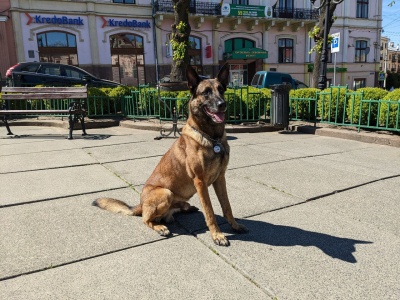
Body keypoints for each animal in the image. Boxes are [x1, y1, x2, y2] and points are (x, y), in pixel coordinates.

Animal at [95, 63, 248, 246]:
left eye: (222, 90)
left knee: (173, 211)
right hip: (166, 193)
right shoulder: (201, 182)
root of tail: (140, 203)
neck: (212, 138)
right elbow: (210, 211)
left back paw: (186, 209)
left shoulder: (220, 178)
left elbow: (227, 206)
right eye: (206, 92)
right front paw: (217, 235)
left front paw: (235, 225)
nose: (222, 104)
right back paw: (160, 226)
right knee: (146, 219)